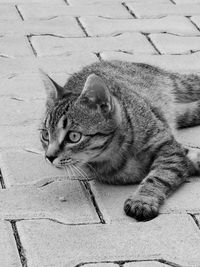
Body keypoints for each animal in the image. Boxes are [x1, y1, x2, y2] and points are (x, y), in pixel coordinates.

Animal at [39, 60, 200, 222]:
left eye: (73, 136)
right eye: (45, 135)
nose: (49, 156)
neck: (121, 150)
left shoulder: (168, 147)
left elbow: (160, 175)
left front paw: (142, 199)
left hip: (181, 84)